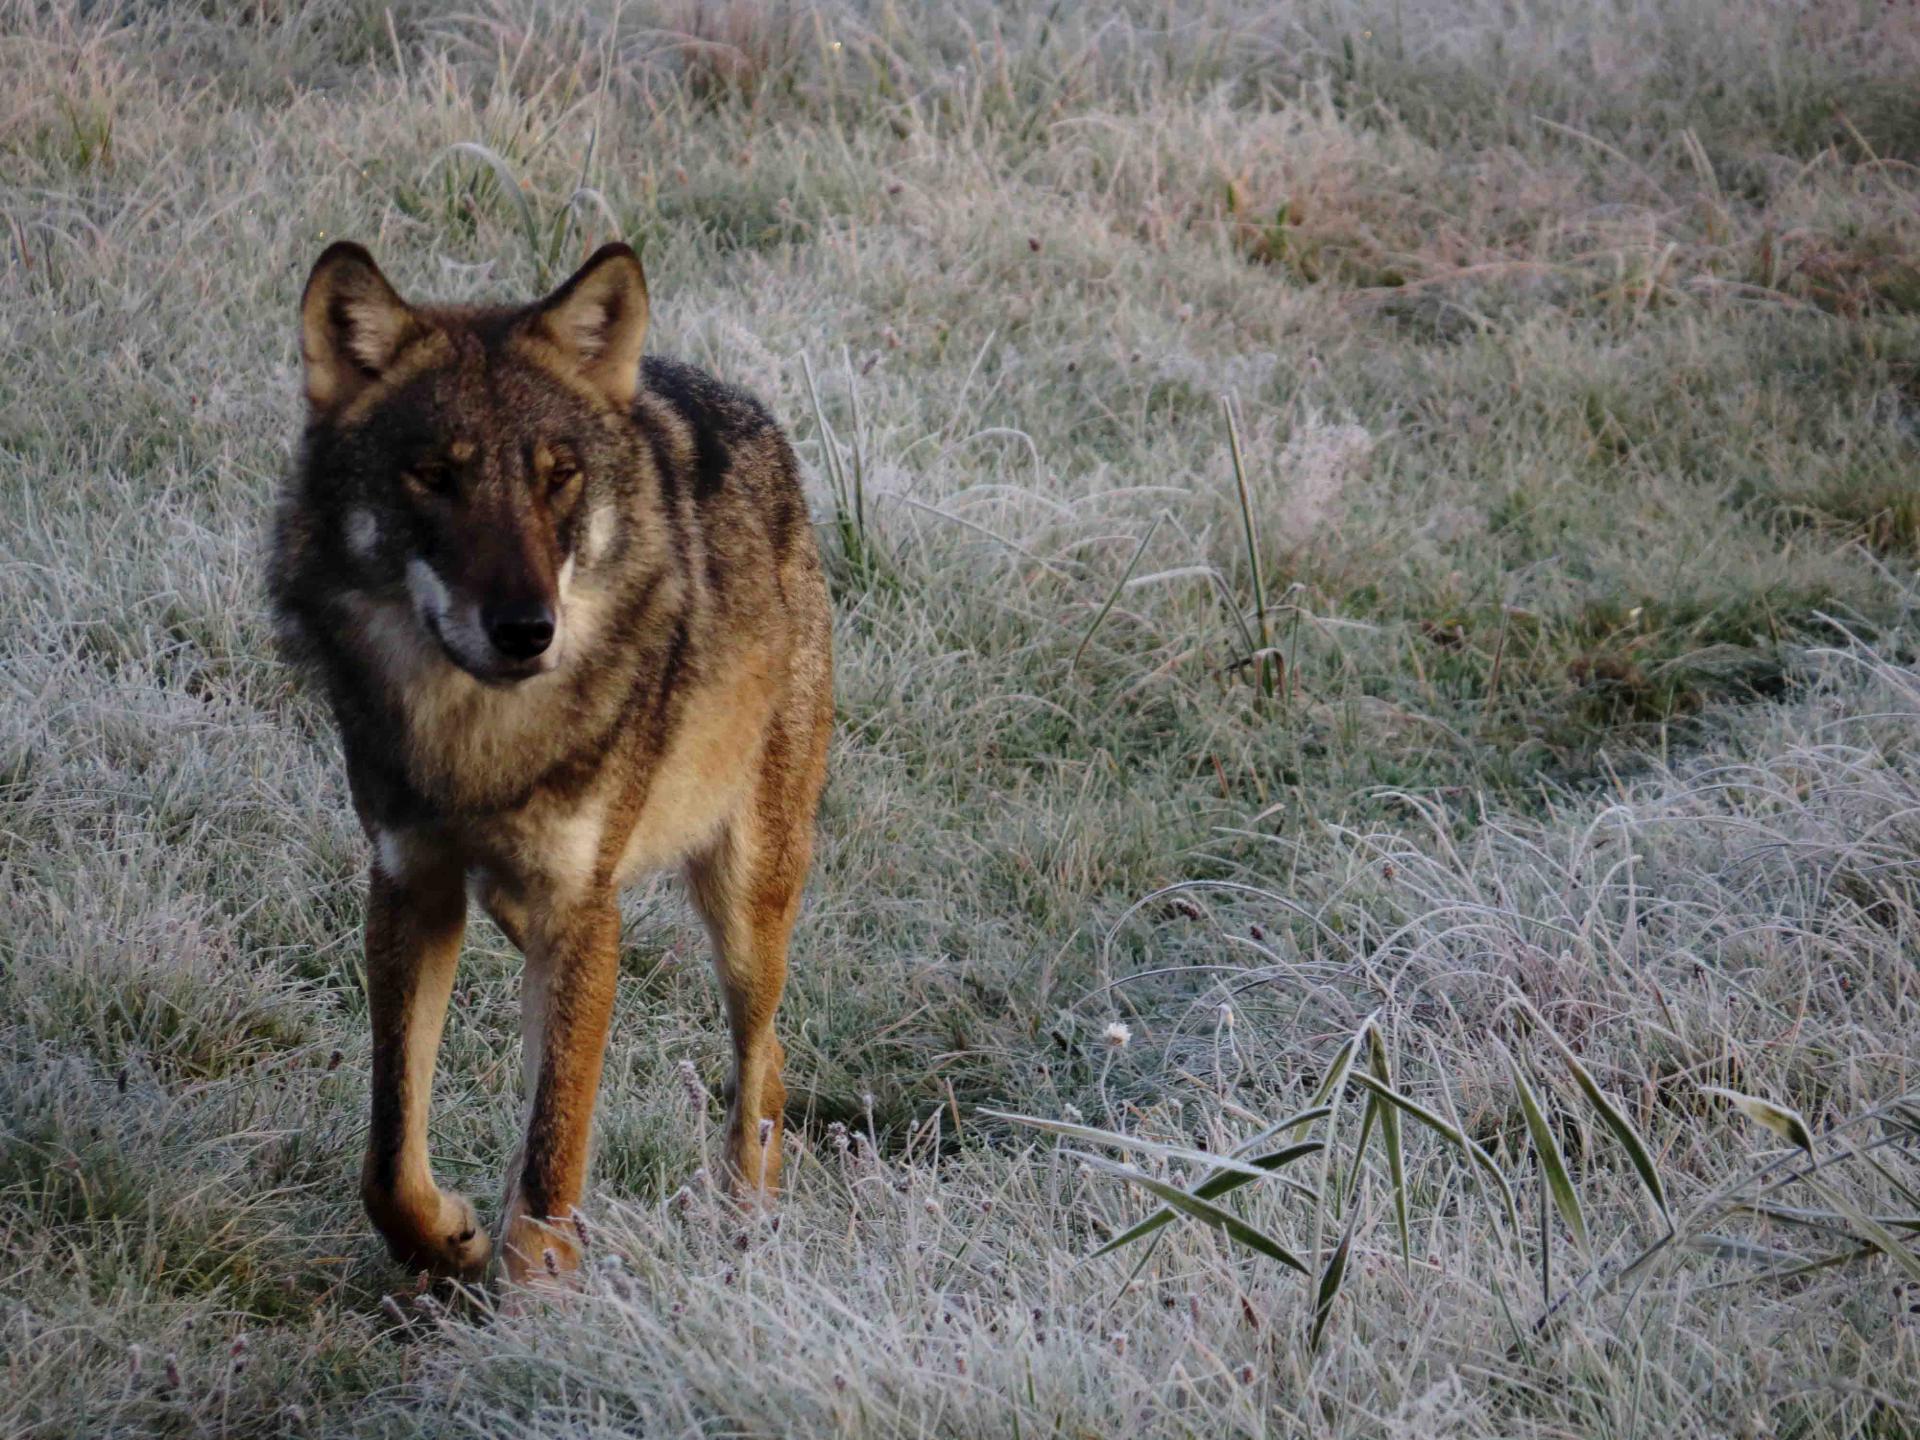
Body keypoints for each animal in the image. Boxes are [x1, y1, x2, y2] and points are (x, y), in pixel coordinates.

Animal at [270, 245, 833, 1282]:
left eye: (558, 477)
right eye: (434, 476)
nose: (528, 630)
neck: (481, 746)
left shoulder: (581, 908)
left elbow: (553, 1153)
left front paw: (532, 1297)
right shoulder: (411, 884)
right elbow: (389, 1159)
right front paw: (449, 1242)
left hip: (746, 905)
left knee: (764, 1066)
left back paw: (745, 1231)